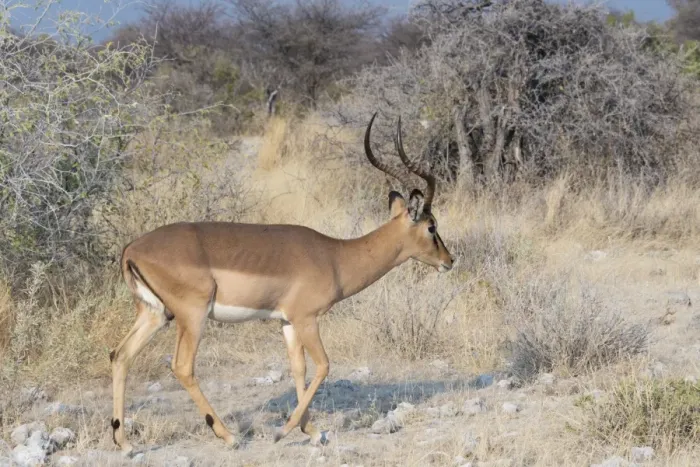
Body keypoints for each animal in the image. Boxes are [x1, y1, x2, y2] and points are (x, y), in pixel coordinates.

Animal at [110, 112, 454, 453]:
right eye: (432, 226)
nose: (449, 261)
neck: (335, 256)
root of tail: (131, 249)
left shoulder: (287, 322)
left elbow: (298, 368)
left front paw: (311, 432)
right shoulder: (307, 319)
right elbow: (324, 365)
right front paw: (283, 432)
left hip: (155, 314)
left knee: (120, 354)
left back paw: (125, 443)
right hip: (192, 316)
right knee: (182, 366)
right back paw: (230, 437)